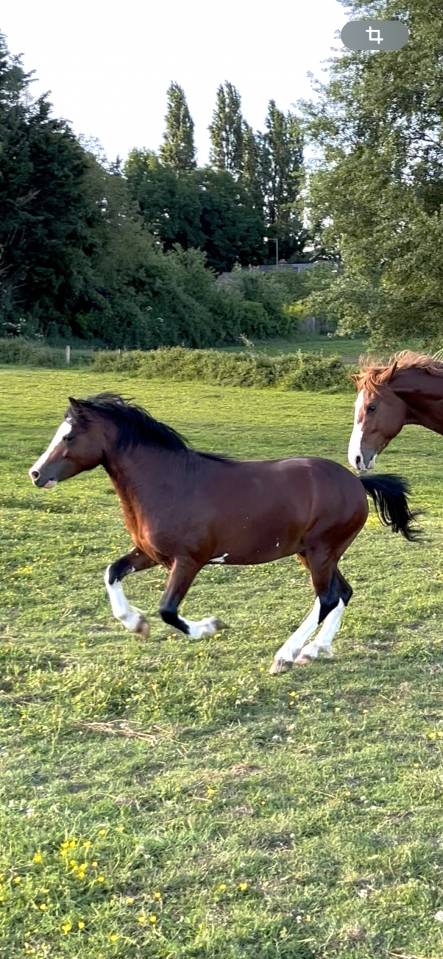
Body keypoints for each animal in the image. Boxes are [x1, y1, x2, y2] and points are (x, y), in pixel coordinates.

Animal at [28, 393, 419, 673]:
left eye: (69, 435)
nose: (36, 473)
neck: (169, 483)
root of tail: (356, 482)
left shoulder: (188, 561)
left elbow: (167, 610)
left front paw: (210, 626)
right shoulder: (150, 554)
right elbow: (112, 573)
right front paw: (135, 623)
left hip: (322, 552)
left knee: (326, 599)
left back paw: (286, 656)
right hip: (313, 554)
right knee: (343, 594)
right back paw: (314, 650)